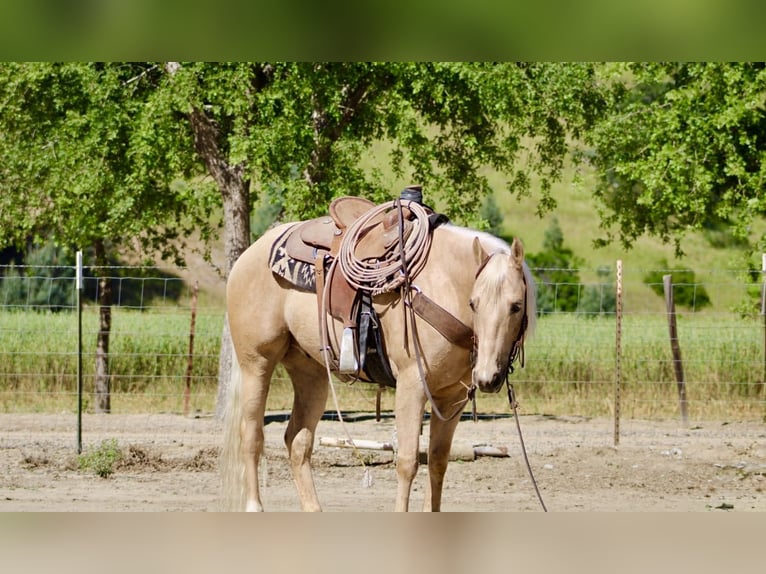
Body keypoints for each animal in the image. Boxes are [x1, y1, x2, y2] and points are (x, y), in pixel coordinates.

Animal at [220, 214, 536, 511]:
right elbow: (407, 462)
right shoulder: (412, 385)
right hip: (256, 363)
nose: (487, 377)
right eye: (474, 303)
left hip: (310, 373)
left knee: (297, 441)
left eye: (516, 306)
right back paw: (254, 506)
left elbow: (438, 461)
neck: (442, 286)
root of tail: (253, 250)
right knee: (252, 435)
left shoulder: (452, 397)